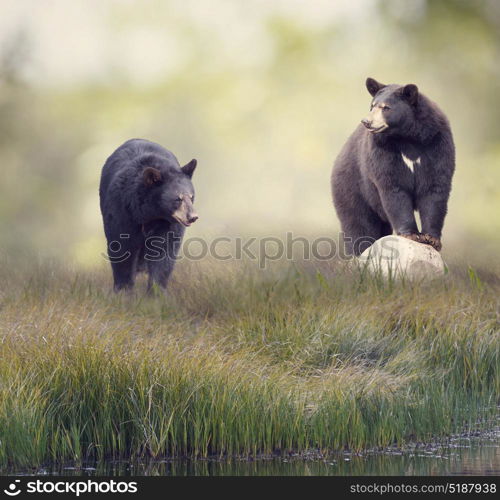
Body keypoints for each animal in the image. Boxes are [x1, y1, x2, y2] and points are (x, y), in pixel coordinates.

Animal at [98, 139, 198, 292]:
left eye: (191, 197)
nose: (193, 216)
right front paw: (123, 289)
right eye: (178, 199)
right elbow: (121, 248)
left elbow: (164, 254)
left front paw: (157, 291)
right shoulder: (122, 211)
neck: (149, 214)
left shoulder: (167, 224)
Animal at [332, 78, 454, 258]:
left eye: (386, 107)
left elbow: (435, 188)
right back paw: (358, 252)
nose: (366, 121)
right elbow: (393, 187)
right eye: (372, 105)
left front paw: (431, 239)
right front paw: (411, 234)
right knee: (358, 223)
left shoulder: (437, 143)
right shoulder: (382, 150)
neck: (407, 137)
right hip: (352, 186)